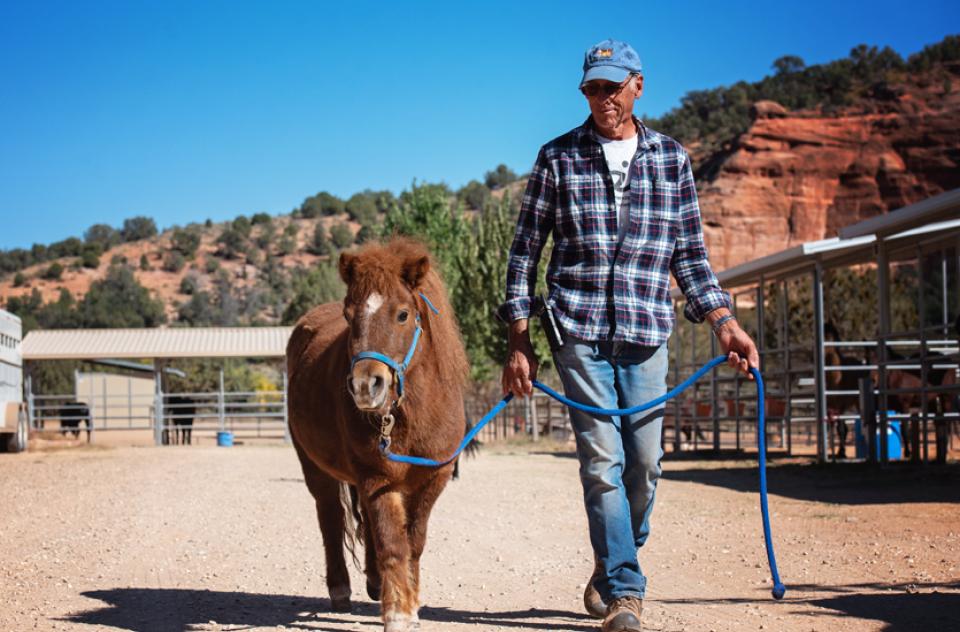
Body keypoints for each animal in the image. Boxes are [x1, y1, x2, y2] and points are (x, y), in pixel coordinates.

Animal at [286, 238, 469, 632]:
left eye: (402, 314)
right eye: (348, 315)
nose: (364, 386)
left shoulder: (433, 479)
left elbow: (414, 541)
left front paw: (410, 602)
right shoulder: (376, 477)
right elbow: (392, 544)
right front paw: (397, 610)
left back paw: (373, 583)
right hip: (314, 467)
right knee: (330, 516)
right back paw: (341, 589)